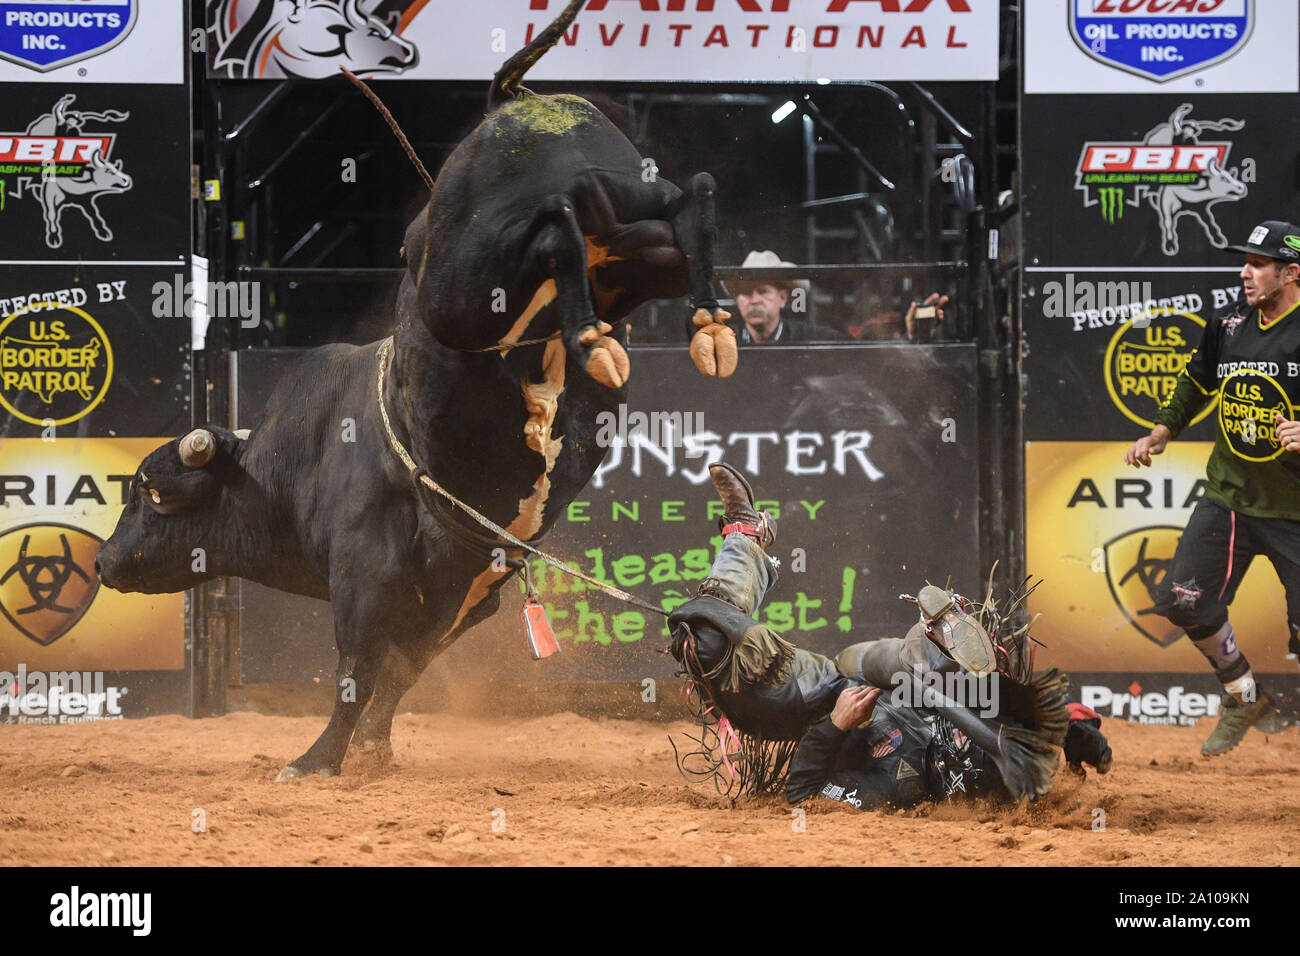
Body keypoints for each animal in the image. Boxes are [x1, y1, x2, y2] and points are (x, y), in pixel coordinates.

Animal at [94, 0, 738, 780]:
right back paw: (698, 324)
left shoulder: (367, 578)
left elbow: (362, 669)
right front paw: (371, 748)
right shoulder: (467, 587)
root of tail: (514, 105)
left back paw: (604, 331)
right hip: (636, 233)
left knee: (558, 222)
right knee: (679, 199)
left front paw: (316, 760)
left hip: (467, 282)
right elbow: (403, 667)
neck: (293, 461)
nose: (101, 561)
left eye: (149, 491)